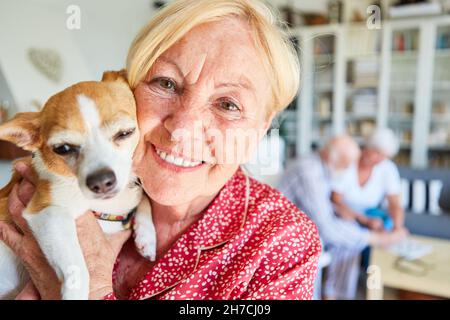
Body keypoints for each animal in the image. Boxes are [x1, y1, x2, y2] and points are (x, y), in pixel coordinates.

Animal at [0, 70, 156, 300]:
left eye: (125, 133)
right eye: (63, 149)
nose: (101, 181)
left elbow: (144, 198)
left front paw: (147, 235)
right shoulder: (47, 211)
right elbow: (76, 267)